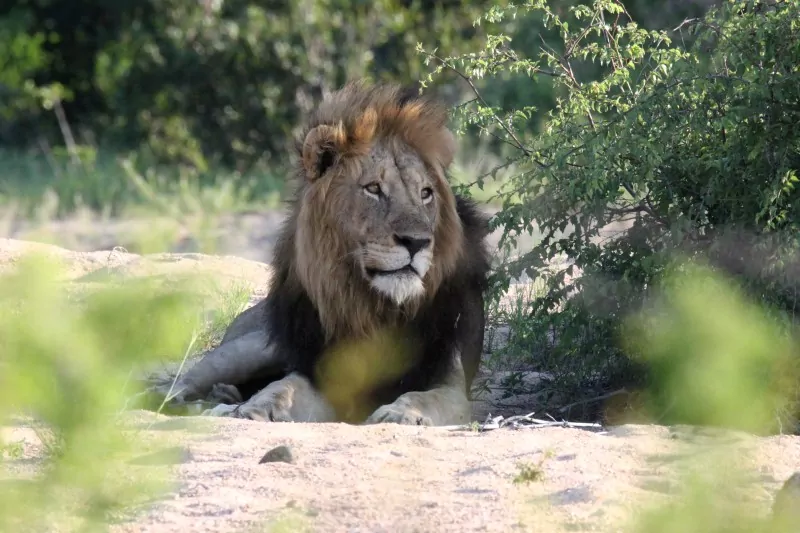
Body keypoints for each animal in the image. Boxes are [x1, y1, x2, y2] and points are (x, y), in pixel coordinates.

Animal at [143, 80, 491, 426]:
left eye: (425, 194)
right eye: (373, 189)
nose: (417, 242)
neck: (373, 308)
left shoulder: (451, 383)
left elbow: (425, 398)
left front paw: (401, 413)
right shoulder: (319, 371)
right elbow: (286, 386)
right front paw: (259, 407)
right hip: (252, 348)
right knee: (186, 380)